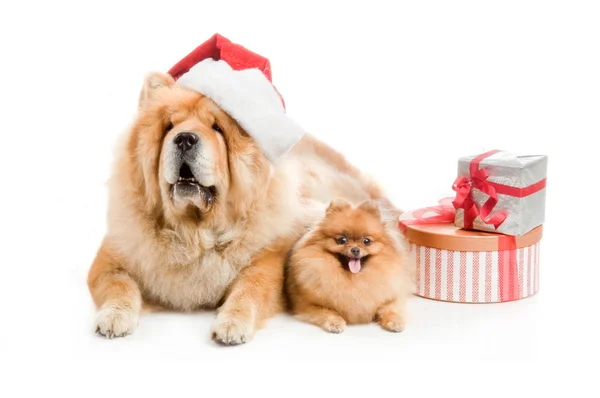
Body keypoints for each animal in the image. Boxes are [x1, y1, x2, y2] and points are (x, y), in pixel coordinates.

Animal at [286, 199, 412, 332]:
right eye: (342, 240)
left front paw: (395, 321)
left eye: (367, 241)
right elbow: (327, 312)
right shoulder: (306, 304)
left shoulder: (391, 297)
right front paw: (335, 322)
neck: (353, 279)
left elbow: (390, 309)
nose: (355, 249)